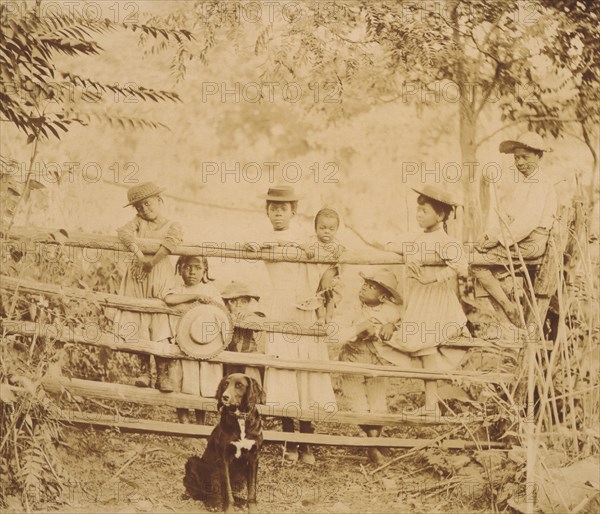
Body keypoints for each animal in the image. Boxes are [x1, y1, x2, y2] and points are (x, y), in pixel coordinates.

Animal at [184, 372, 266, 512]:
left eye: (239, 385)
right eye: (225, 384)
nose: (224, 397)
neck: (240, 419)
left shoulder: (254, 458)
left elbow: (252, 490)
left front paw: (252, 508)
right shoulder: (224, 459)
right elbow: (227, 490)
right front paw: (229, 509)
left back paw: (239, 501)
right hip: (193, 462)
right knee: (205, 492)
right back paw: (212, 503)